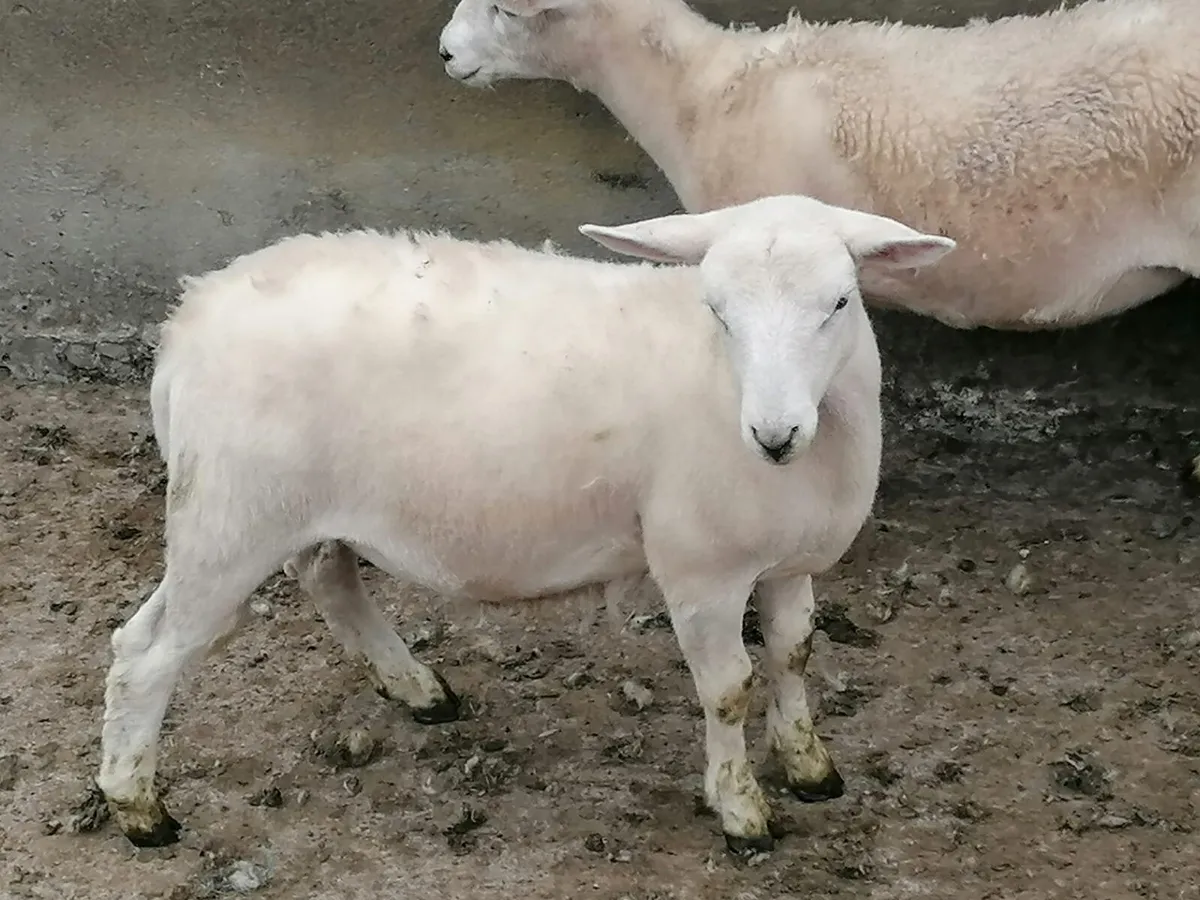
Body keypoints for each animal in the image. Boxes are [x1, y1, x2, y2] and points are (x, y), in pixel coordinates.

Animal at [94, 193, 955, 856]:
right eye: (718, 311)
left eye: (838, 303)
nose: (774, 436)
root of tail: (188, 319)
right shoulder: (700, 567)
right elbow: (729, 690)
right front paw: (742, 809)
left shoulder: (788, 560)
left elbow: (794, 655)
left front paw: (811, 767)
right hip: (227, 516)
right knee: (144, 653)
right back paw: (139, 807)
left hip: (292, 513)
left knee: (329, 579)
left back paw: (416, 688)